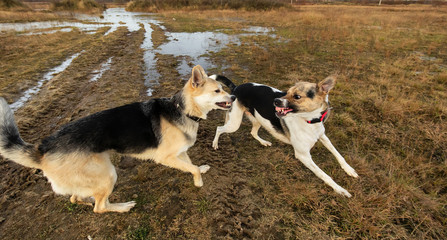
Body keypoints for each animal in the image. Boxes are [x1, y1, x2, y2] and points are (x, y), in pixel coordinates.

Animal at [0, 64, 236, 213]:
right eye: (217, 91)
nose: (234, 96)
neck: (182, 109)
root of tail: (44, 148)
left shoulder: (180, 153)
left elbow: (192, 164)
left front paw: (201, 170)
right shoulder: (166, 157)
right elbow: (192, 169)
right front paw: (198, 182)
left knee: (76, 197)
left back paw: (87, 199)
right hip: (108, 174)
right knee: (99, 208)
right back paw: (123, 207)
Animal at [212, 76, 358, 198]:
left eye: (297, 96)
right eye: (287, 92)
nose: (275, 101)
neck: (310, 121)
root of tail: (236, 87)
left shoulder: (323, 136)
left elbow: (338, 154)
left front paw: (349, 170)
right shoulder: (303, 155)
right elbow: (324, 175)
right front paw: (340, 189)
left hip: (258, 119)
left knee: (253, 132)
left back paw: (264, 142)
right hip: (234, 124)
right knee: (219, 128)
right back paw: (215, 144)